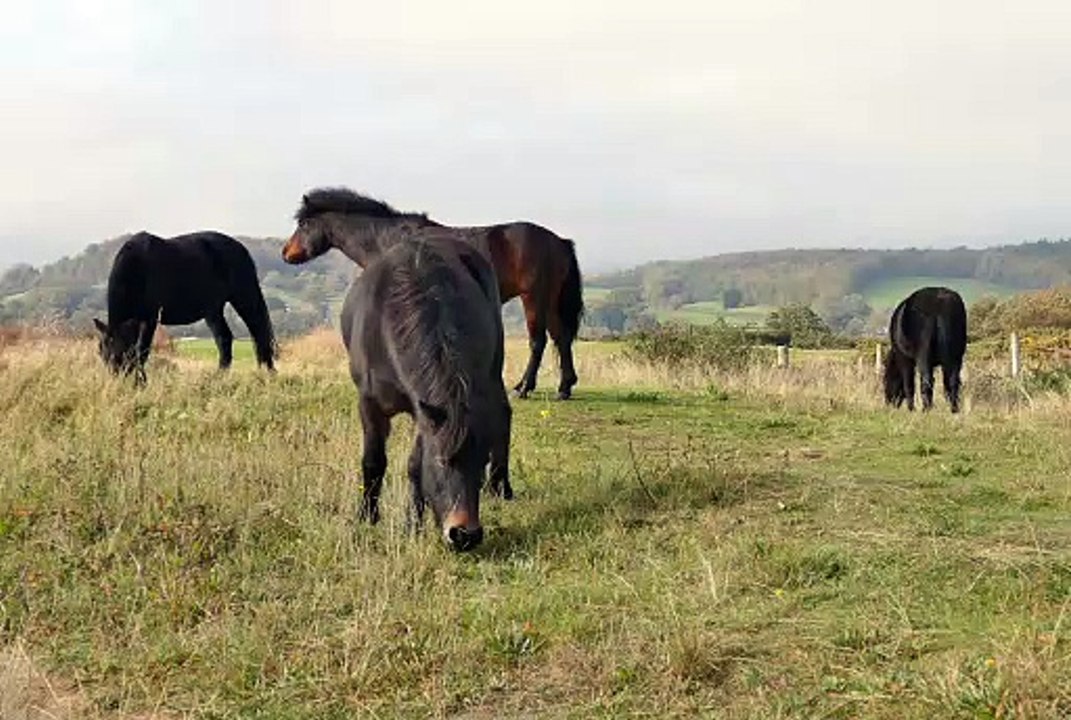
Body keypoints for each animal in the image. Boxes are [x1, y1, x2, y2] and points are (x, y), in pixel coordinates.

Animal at [93, 231, 277, 382]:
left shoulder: (150, 319)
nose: (116, 381)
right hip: (213, 310)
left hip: (244, 299)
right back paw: (220, 376)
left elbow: (142, 350)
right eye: (101, 353)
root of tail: (241, 248)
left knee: (259, 333)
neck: (136, 267)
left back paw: (268, 372)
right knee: (224, 339)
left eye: (120, 353)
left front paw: (141, 382)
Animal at [281, 187, 585, 399]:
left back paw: (524, 388)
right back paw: (563, 387)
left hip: (534, 298)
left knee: (538, 341)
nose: (286, 253)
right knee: (561, 338)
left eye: (303, 225)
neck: (388, 240)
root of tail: (559, 241)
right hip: (550, 301)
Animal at [342, 233, 512, 551]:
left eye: (481, 461)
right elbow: (374, 461)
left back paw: (501, 487)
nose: (465, 535)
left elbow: (413, 466)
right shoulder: (372, 405)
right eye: (442, 460)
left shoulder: (424, 410)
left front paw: (412, 525)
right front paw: (368, 516)